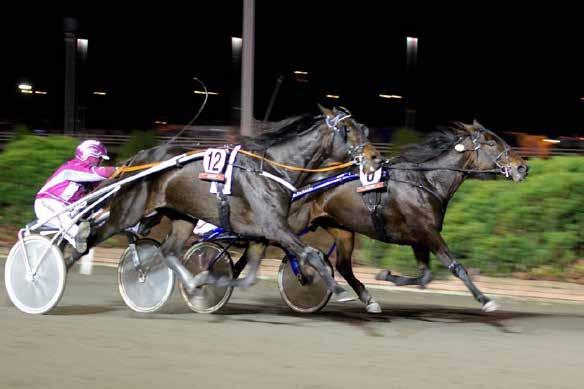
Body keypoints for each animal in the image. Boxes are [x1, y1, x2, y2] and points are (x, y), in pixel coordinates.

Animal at [72, 106, 384, 300]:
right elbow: (313, 254)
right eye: (349, 130)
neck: (273, 168)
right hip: (127, 211)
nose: (376, 158)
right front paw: (338, 290)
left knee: (169, 251)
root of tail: (138, 158)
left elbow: (248, 276)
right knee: (91, 238)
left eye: (363, 128)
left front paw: (209, 282)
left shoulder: (262, 233)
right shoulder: (276, 227)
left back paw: (192, 283)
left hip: (182, 216)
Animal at [288, 121, 528, 312]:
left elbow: (425, 276)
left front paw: (385, 275)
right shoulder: (428, 232)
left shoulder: (418, 238)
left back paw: (368, 299)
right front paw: (485, 300)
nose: (523, 167)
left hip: (342, 229)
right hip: (295, 221)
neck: (427, 181)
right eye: (491, 143)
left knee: (343, 266)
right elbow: (456, 267)